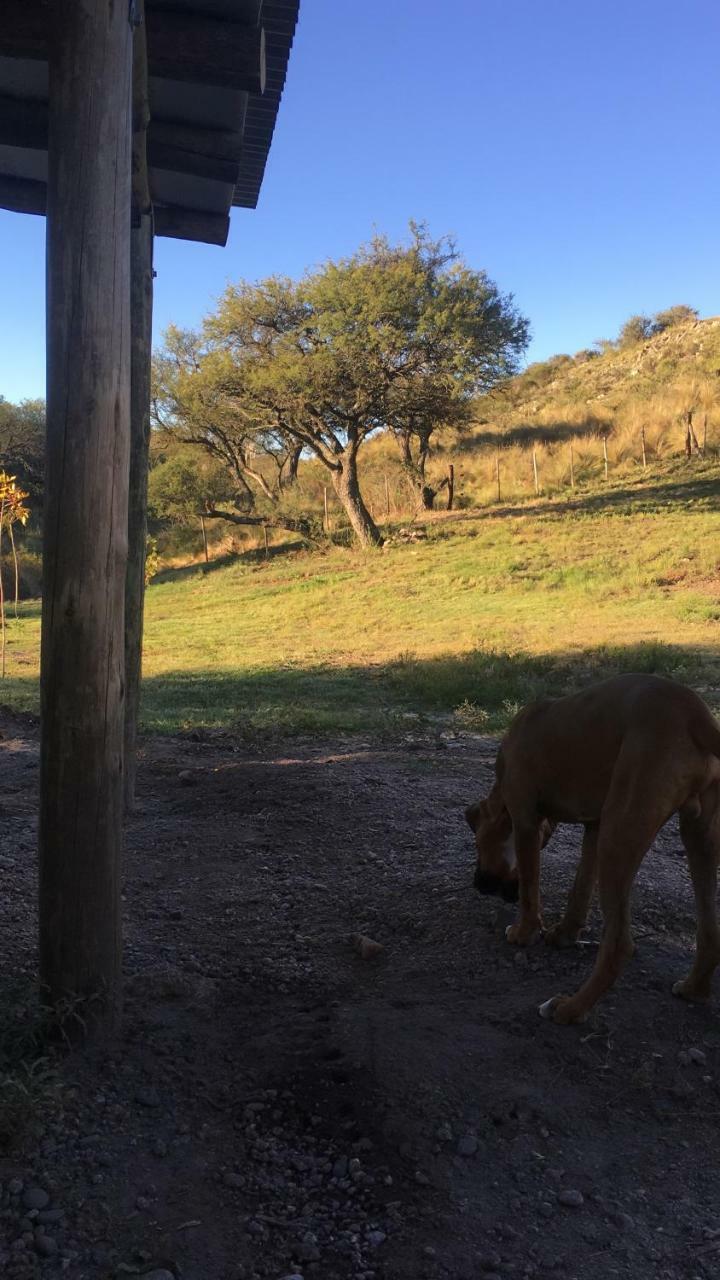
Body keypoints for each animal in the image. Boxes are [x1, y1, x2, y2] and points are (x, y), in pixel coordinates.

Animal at [466, 675, 717, 1024]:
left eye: (477, 843)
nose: (478, 884)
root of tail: (696, 714)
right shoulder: (594, 828)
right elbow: (581, 886)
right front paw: (565, 934)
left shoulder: (526, 821)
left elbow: (530, 888)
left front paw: (523, 932)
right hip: (697, 838)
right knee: (710, 930)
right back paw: (694, 989)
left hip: (620, 835)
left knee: (619, 945)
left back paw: (570, 1008)